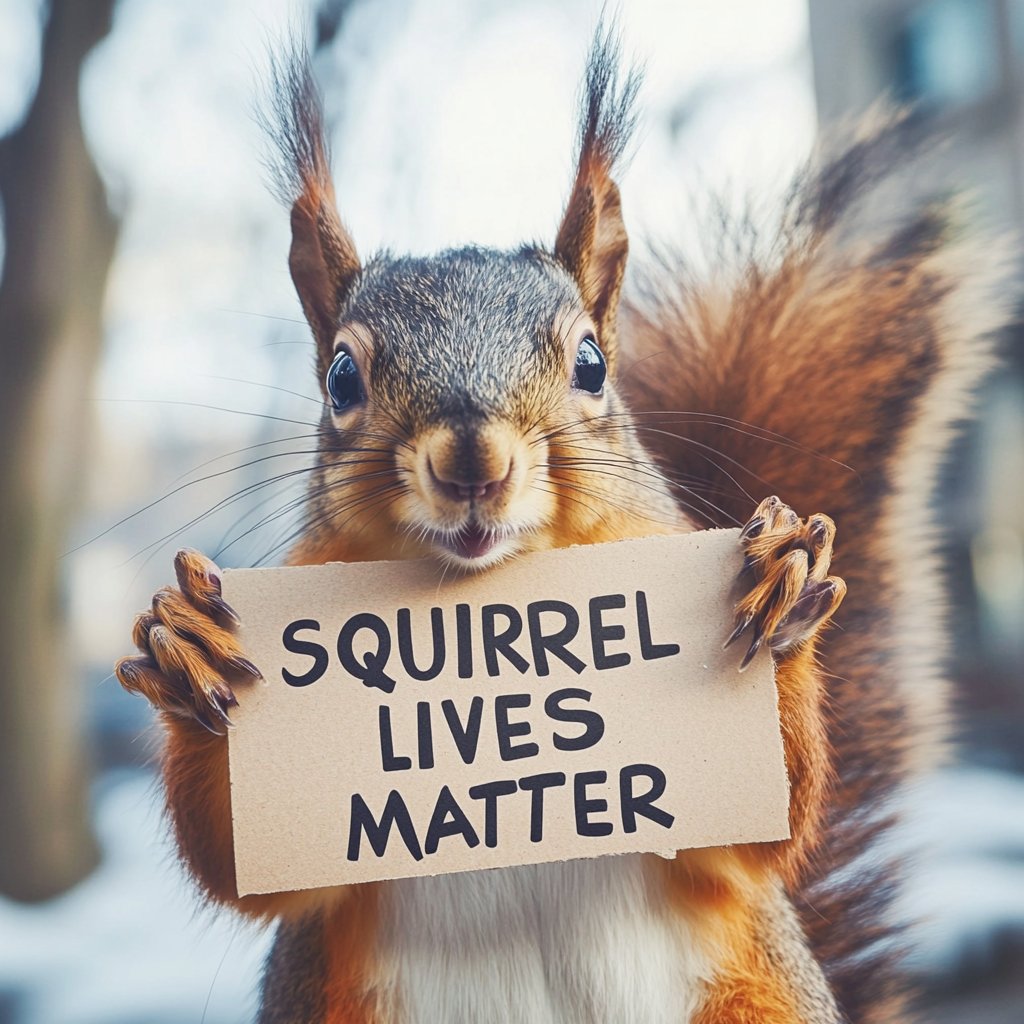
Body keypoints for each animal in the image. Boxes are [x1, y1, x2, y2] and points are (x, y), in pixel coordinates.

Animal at [114, 27, 1012, 1024]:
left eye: (591, 362)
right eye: (342, 378)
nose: (474, 461)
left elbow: (763, 837)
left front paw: (777, 595)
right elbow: (244, 870)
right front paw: (191, 651)